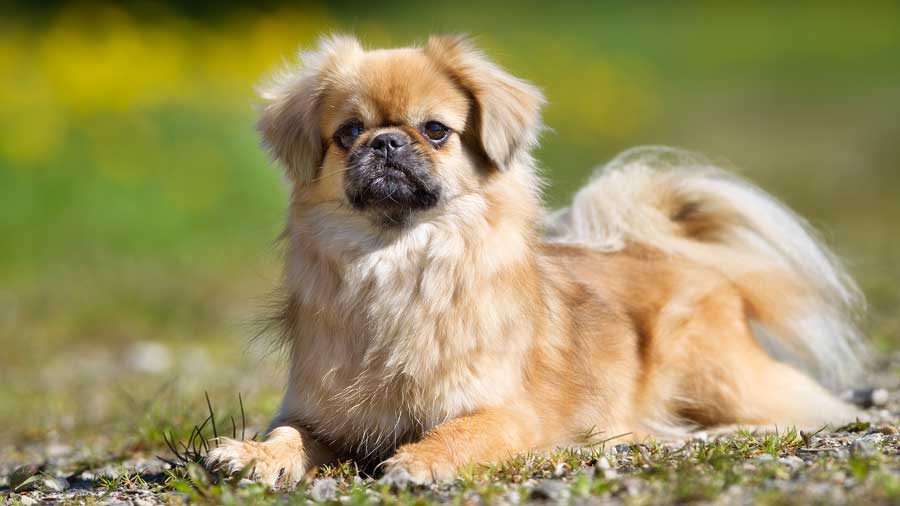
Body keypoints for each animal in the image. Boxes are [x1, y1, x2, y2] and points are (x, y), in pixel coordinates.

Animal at [207, 33, 868, 484]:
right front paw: (250, 455)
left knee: (799, 411)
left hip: (718, 377)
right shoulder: (318, 414)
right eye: (348, 134)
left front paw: (419, 460)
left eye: (435, 130)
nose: (386, 142)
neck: (397, 262)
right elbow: (288, 434)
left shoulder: (503, 412)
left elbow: (459, 429)